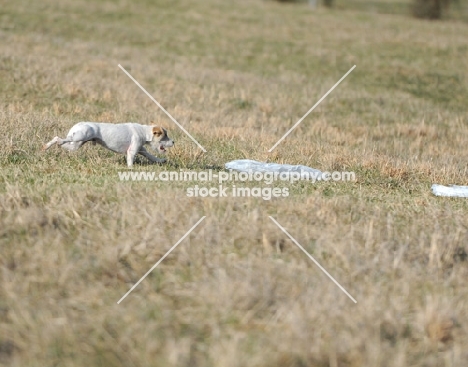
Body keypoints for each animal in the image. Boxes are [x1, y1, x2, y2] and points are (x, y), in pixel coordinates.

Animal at [43, 121, 175, 167]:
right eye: (165, 135)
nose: (173, 141)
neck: (144, 132)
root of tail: (79, 124)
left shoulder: (141, 149)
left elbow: (150, 156)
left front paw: (160, 160)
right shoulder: (132, 151)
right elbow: (130, 161)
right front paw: (131, 169)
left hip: (75, 145)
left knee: (61, 142)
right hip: (79, 136)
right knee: (59, 138)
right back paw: (49, 145)